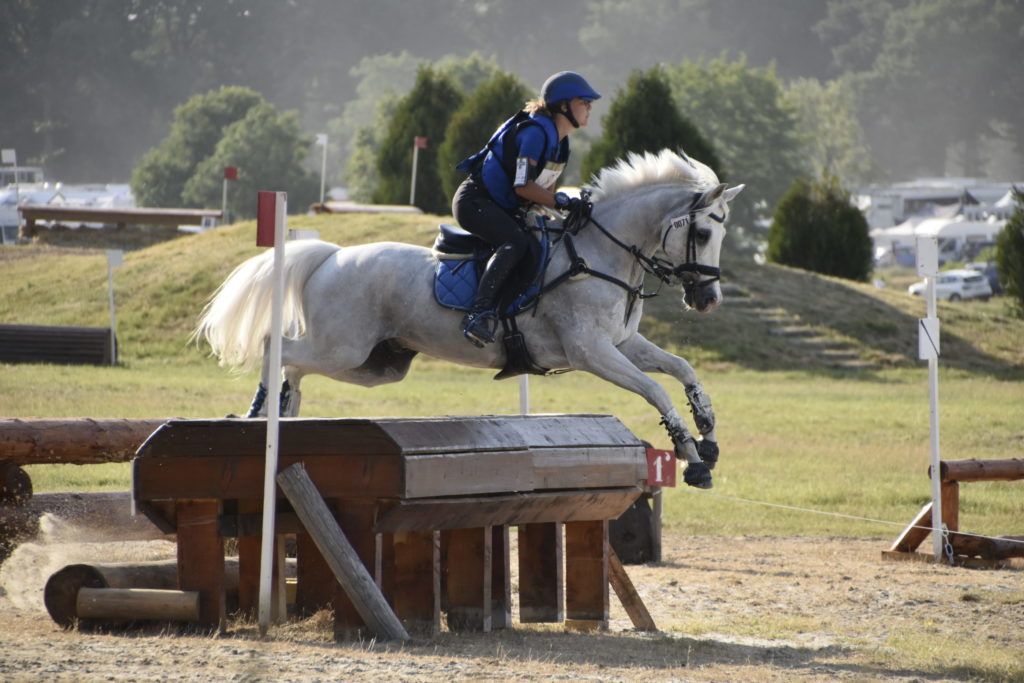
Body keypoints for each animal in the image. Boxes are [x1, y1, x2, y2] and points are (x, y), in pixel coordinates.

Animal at [193, 150, 737, 491]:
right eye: (703, 233)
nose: (709, 298)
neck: (601, 253)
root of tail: (332, 255)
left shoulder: (622, 344)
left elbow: (682, 369)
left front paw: (708, 434)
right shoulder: (592, 353)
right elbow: (656, 390)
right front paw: (691, 457)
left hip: (373, 365)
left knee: (296, 364)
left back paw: (284, 412)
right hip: (343, 347)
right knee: (278, 346)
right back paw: (263, 411)